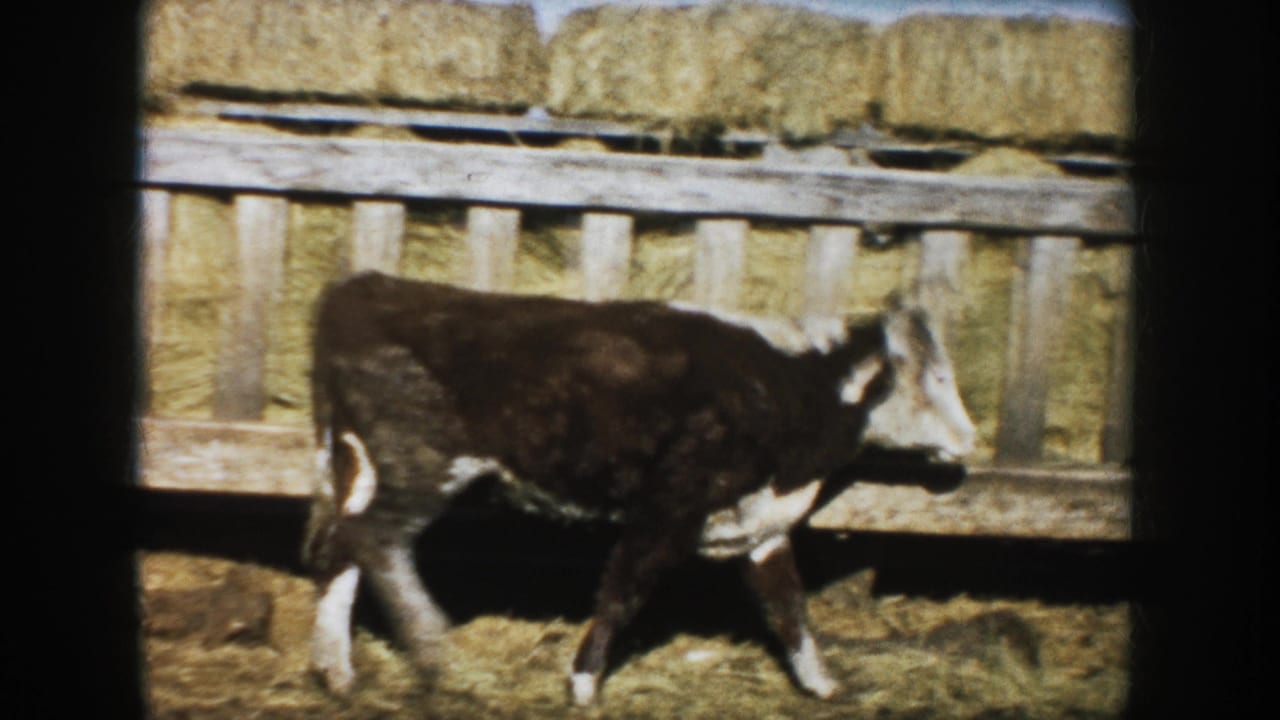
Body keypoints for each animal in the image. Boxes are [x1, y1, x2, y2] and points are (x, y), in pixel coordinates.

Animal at [302, 271, 976, 705]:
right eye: (932, 380)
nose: (969, 439)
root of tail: (363, 288)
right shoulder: (668, 506)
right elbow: (623, 591)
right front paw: (582, 684)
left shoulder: (761, 526)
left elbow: (789, 608)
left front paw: (825, 684)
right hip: (423, 463)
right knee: (376, 540)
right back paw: (430, 651)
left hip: (361, 464)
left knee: (343, 548)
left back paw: (338, 674)